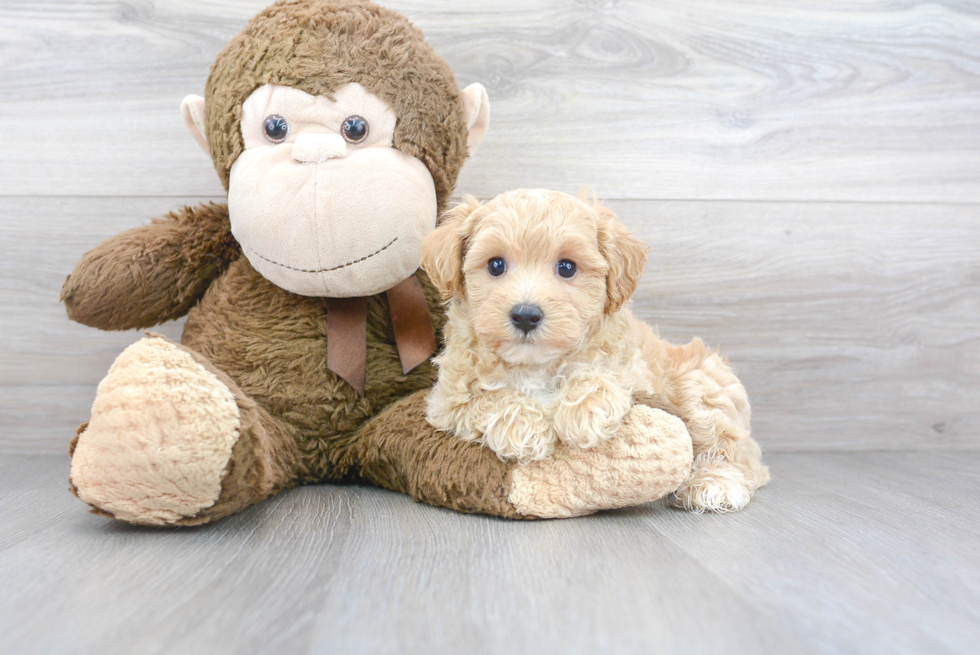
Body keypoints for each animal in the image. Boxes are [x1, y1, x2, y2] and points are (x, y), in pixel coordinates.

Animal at [422, 190, 772, 512]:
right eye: (496, 265)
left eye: (566, 268)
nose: (525, 315)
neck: (535, 364)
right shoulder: (448, 398)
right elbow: (486, 399)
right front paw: (526, 430)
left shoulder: (634, 369)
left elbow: (602, 374)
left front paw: (585, 413)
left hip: (700, 387)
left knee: (738, 452)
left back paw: (715, 483)